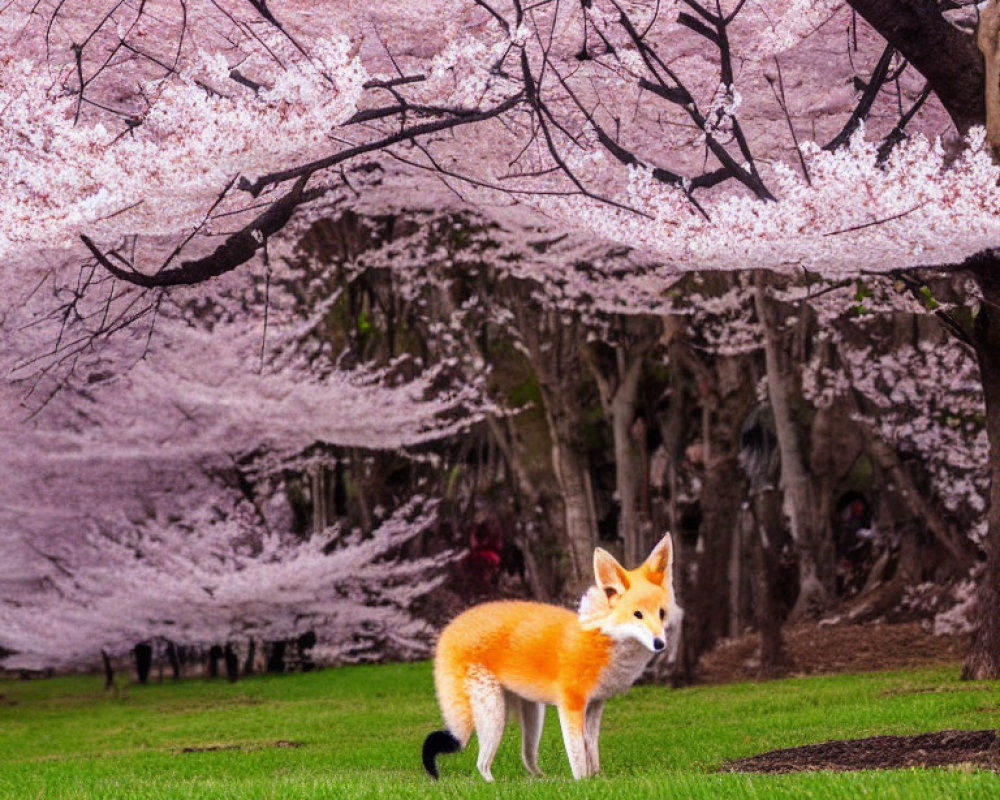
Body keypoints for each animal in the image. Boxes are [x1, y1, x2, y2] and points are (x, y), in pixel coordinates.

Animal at [418, 532, 684, 780]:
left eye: (661, 613)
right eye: (637, 615)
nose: (660, 644)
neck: (602, 642)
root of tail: (451, 627)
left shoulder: (595, 705)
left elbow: (592, 752)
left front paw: (597, 779)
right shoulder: (570, 705)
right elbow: (578, 758)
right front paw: (583, 784)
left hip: (533, 715)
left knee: (527, 760)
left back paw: (543, 780)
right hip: (493, 715)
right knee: (481, 764)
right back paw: (495, 785)